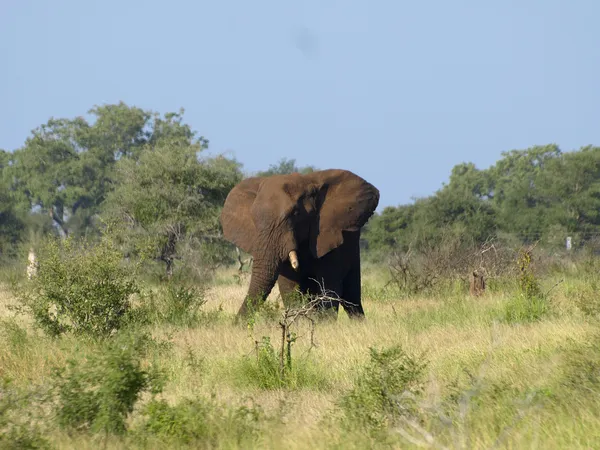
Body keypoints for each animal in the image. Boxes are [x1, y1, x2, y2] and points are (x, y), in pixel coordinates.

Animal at [219, 169, 380, 320]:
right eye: (253, 217)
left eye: (296, 214)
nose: (235, 324)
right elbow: (290, 288)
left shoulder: (329, 236)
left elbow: (329, 287)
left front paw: (324, 325)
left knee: (351, 296)